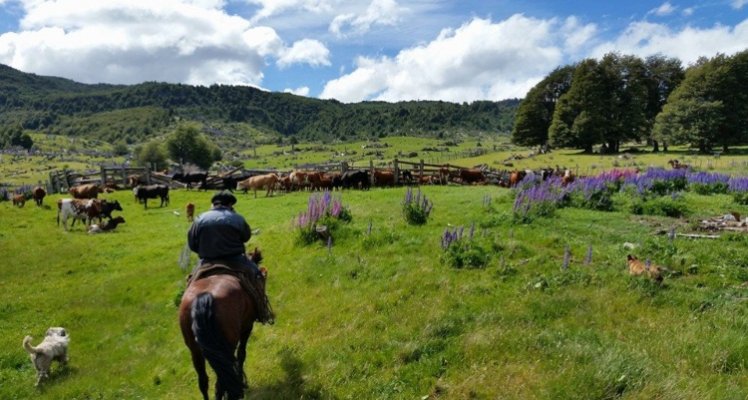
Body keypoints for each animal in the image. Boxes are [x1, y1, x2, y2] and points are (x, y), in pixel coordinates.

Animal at [179, 253, 266, 400]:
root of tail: (203, 298)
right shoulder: (247, 327)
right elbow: (241, 354)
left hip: (195, 350)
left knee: (204, 381)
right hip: (226, 346)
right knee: (222, 379)